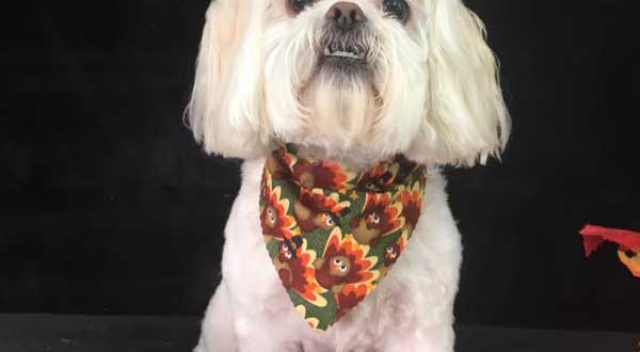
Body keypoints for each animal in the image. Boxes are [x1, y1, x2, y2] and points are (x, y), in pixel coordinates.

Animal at [186, 0, 510, 350]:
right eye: (297, 4)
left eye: (397, 8)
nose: (346, 12)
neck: (340, 186)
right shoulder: (264, 323)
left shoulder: (420, 322)